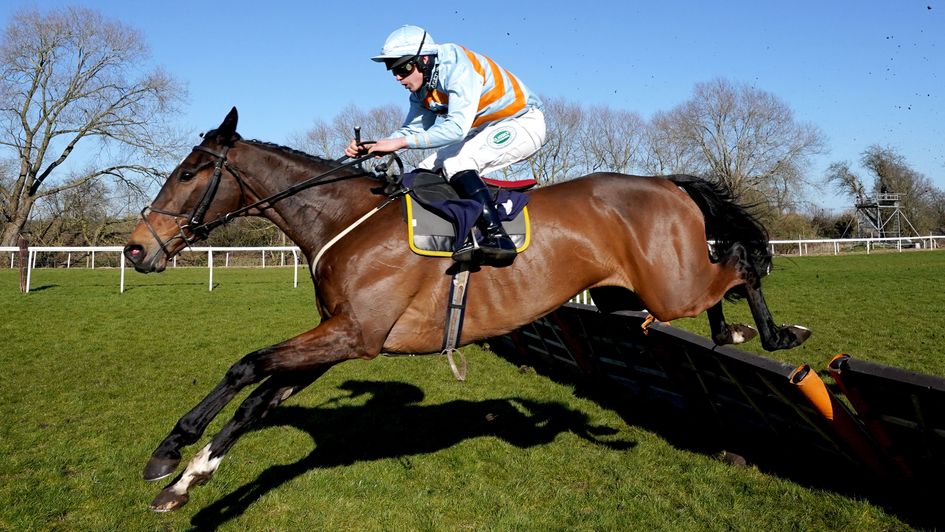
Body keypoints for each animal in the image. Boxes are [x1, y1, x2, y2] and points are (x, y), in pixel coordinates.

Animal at [121, 108, 808, 512]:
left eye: (187, 174)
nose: (135, 249)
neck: (344, 219)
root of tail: (666, 182)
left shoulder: (354, 335)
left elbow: (246, 366)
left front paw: (171, 449)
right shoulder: (335, 335)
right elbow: (256, 400)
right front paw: (187, 477)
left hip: (672, 286)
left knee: (740, 261)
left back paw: (775, 334)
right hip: (635, 292)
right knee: (725, 275)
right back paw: (732, 332)